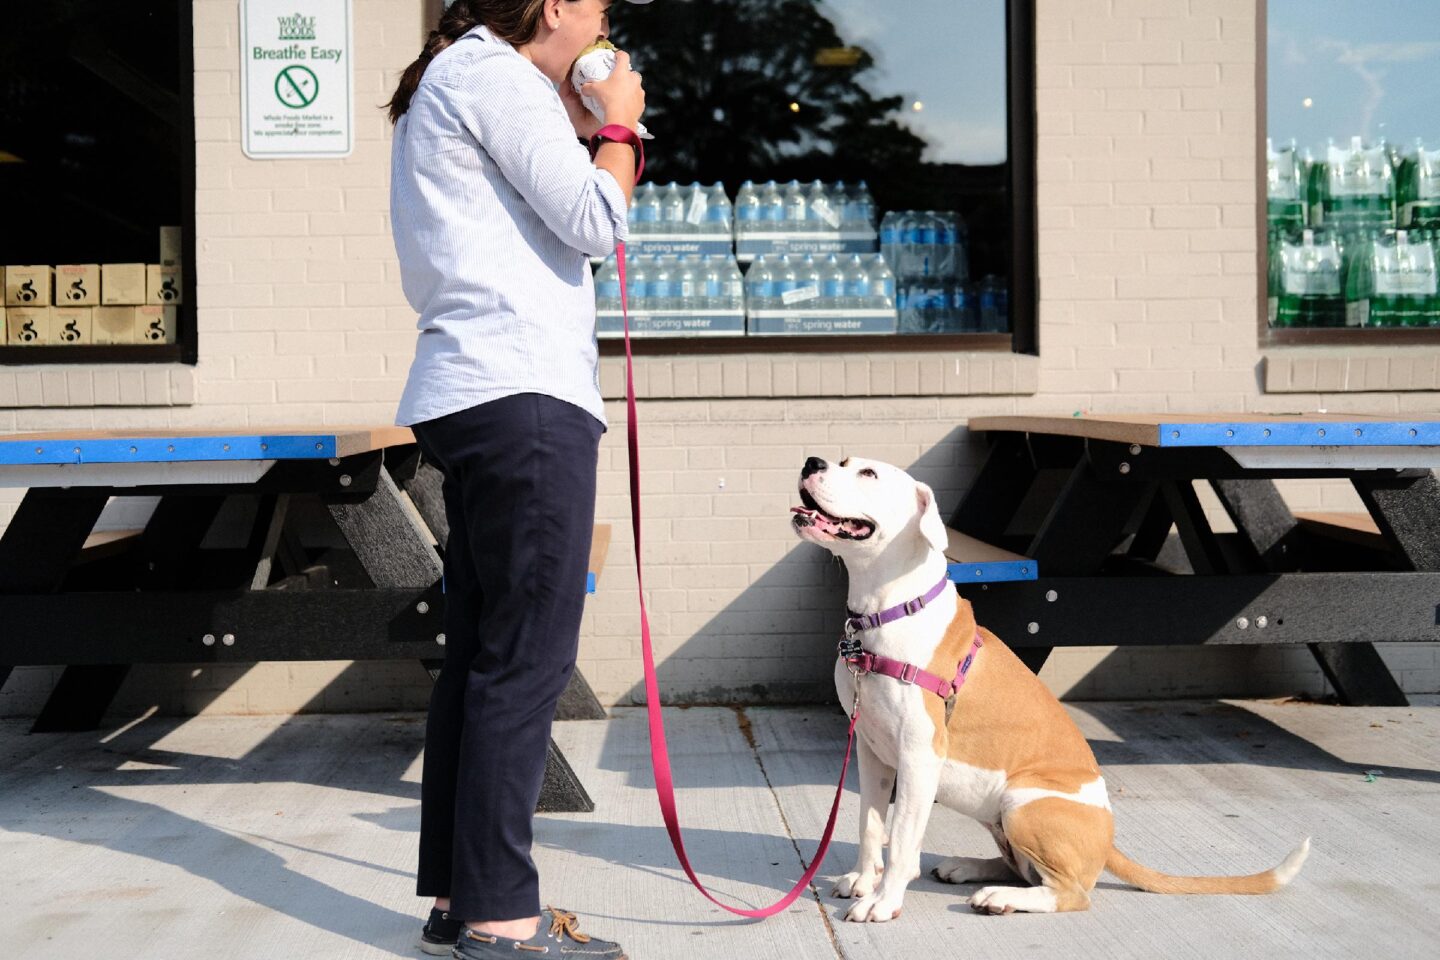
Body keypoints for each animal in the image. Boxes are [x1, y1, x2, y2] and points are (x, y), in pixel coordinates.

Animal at [791, 455, 1309, 920]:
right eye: (840, 461)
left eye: (868, 473)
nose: (811, 461)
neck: (886, 612)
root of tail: (1108, 840)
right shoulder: (872, 750)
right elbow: (869, 823)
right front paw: (864, 880)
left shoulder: (919, 756)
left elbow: (899, 839)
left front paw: (882, 902)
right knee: (1024, 870)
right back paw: (969, 870)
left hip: (1022, 802)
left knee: (1072, 893)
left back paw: (1000, 897)